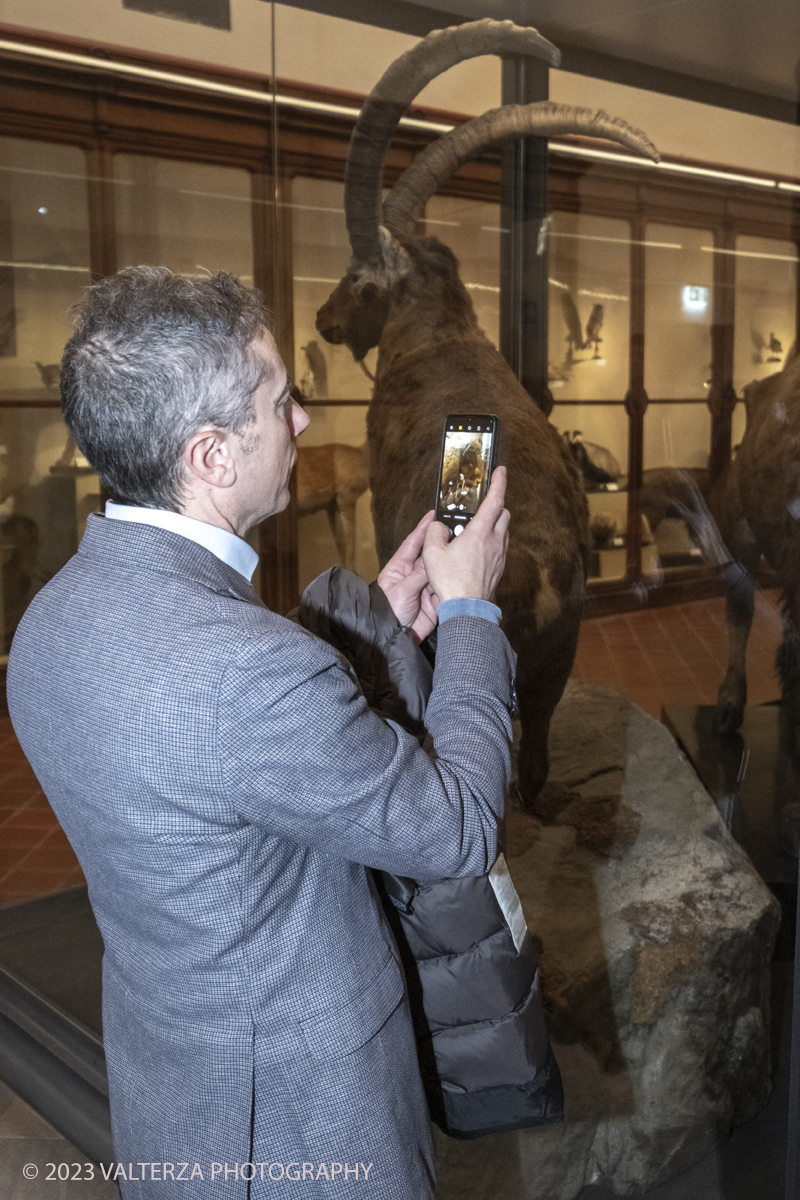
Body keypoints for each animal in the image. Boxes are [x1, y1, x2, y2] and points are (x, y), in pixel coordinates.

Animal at [316, 16, 662, 806]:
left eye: (357, 279)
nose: (322, 320)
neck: (436, 335)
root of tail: (533, 582)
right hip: (558, 662)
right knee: (533, 764)